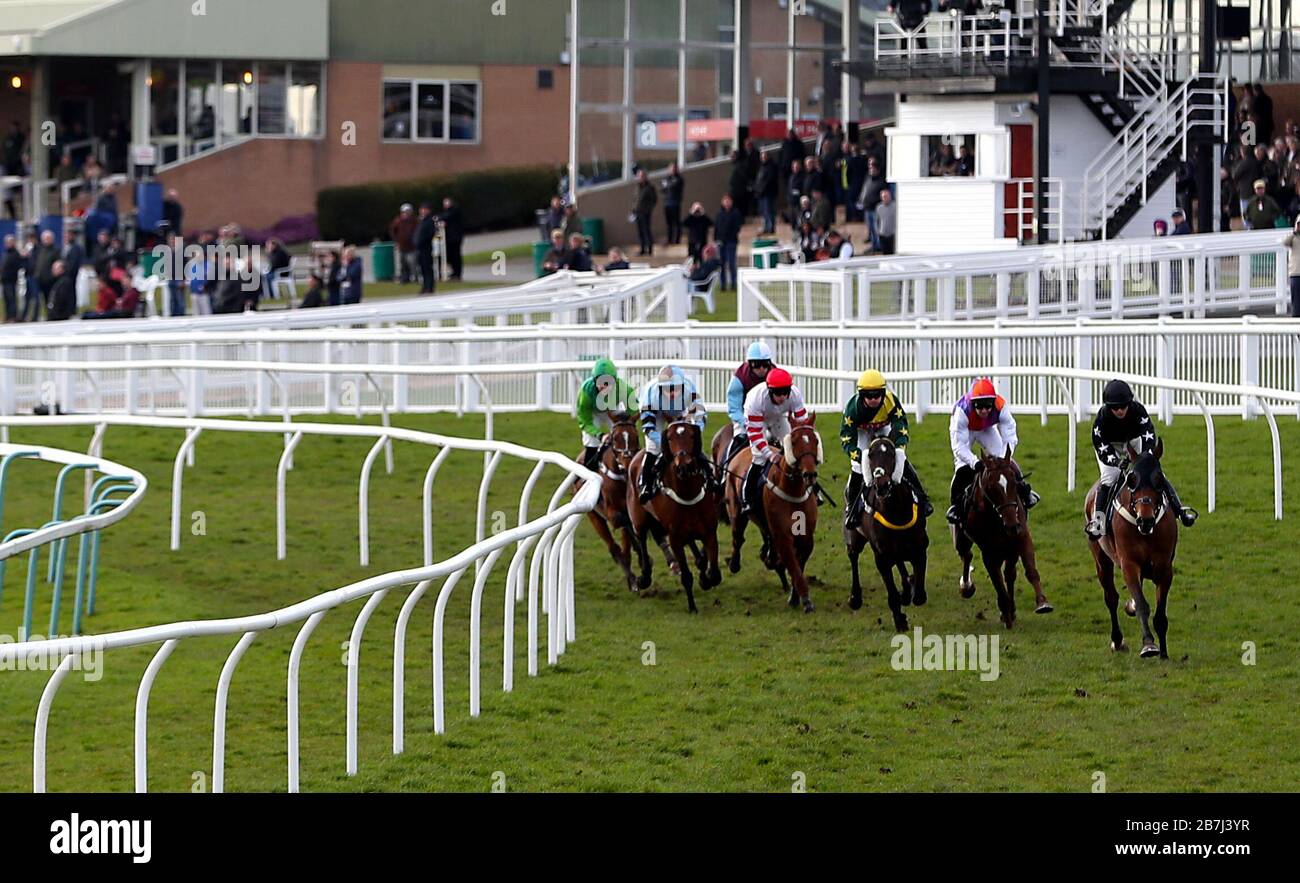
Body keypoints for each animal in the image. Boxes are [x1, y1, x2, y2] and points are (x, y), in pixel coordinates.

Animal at [626, 421, 728, 613]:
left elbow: (715, 574)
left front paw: (705, 579)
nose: (684, 466)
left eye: (691, 436)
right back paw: (644, 577)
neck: (688, 493)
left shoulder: (709, 532)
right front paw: (692, 607)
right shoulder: (675, 538)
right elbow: (686, 576)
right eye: (670, 438)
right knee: (641, 539)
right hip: (639, 517)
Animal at [847, 436, 930, 632]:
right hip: (855, 537)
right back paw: (855, 598)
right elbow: (892, 593)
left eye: (892, 455)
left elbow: (919, 595)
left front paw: (909, 589)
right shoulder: (881, 557)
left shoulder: (920, 547)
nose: (882, 485)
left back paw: (906, 588)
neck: (896, 512)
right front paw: (900, 620)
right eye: (870, 455)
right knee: (853, 556)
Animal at [956, 452, 1055, 632]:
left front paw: (1042, 603)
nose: (1011, 525)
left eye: (1014, 483)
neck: (997, 519)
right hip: (963, 537)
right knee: (966, 554)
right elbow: (997, 581)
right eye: (991, 486)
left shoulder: (1021, 537)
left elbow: (1028, 571)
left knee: (1009, 573)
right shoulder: (988, 551)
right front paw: (1005, 612)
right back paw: (967, 587)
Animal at [1086, 439, 1180, 655]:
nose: (1146, 520)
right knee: (1111, 597)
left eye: (1159, 479)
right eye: (1131, 479)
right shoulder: (1129, 564)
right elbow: (1142, 605)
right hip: (1101, 559)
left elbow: (1160, 614)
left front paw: (1164, 653)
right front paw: (1149, 645)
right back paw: (1117, 640)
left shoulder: (1164, 567)